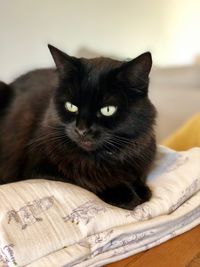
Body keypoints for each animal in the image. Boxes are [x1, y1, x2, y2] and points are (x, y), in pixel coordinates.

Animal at [0, 45, 156, 209]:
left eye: (108, 110)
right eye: (71, 106)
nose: (81, 130)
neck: (101, 157)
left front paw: (141, 189)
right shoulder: (37, 169)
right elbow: (83, 178)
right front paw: (124, 193)